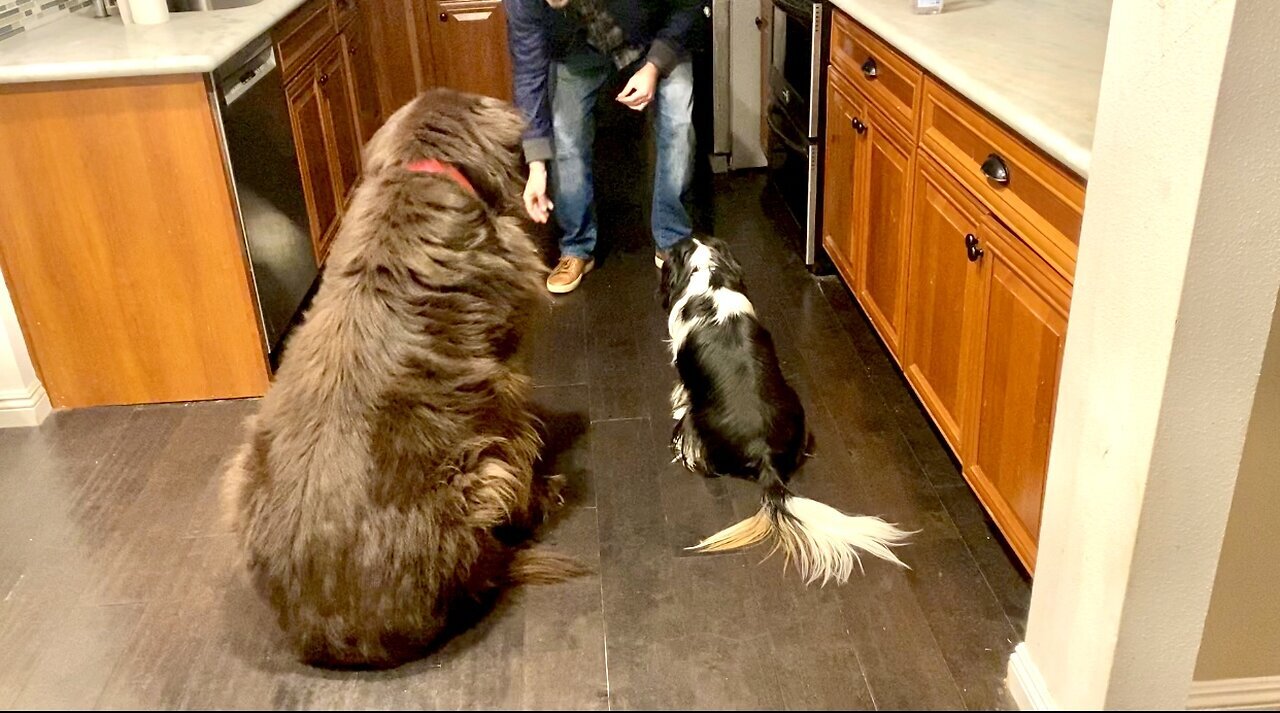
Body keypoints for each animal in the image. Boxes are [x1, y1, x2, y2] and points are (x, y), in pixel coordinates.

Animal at [220, 88, 581, 665]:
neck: (424, 172)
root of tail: (327, 635)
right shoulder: (504, 383)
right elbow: (524, 439)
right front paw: (544, 490)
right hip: (478, 472)